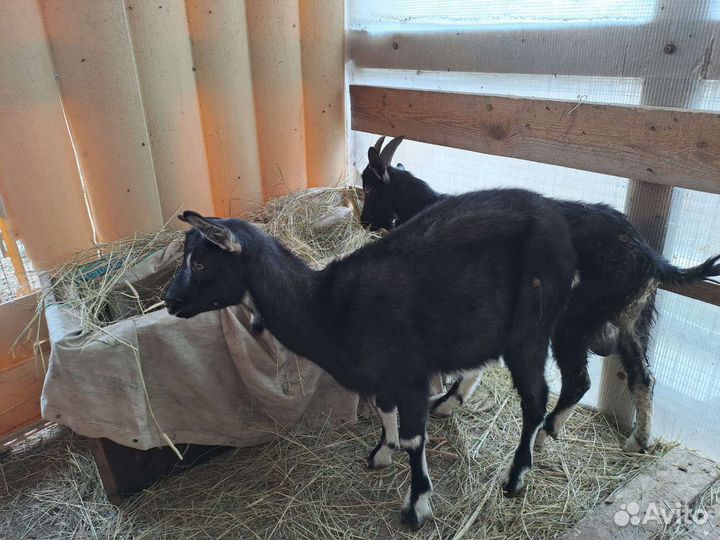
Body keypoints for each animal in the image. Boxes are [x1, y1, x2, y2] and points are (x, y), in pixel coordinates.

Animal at [165, 191, 576, 529]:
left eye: (200, 264)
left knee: (535, 398)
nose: (170, 301)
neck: (325, 307)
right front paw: (381, 453)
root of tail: (556, 215)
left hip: (531, 329)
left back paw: (516, 476)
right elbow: (383, 409)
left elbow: (413, 439)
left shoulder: (411, 376)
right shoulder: (385, 375)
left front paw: (416, 507)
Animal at [359, 136, 720, 454]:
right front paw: (450, 402)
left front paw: (445, 401)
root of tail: (651, 259)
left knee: (579, 381)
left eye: (370, 187)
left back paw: (545, 435)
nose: (365, 222)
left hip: (575, 318)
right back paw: (638, 441)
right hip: (631, 320)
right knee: (642, 379)